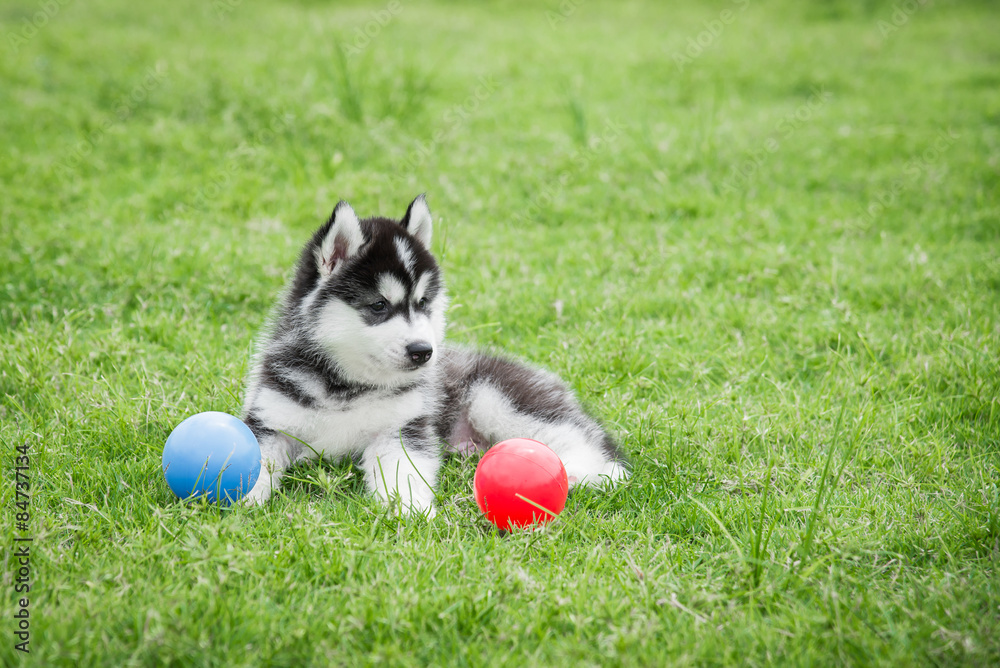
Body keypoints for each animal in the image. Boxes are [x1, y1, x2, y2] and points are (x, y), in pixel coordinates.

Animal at [241, 196, 624, 516]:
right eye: (379, 305)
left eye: (423, 302)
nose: (423, 351)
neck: (348, 385)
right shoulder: (268, 420)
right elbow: (253, 460)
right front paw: (241, 501)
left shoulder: (403, 428)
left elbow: (403, 472)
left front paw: (409, 511)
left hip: (497, 397)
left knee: (588, 445)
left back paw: (581, 475)